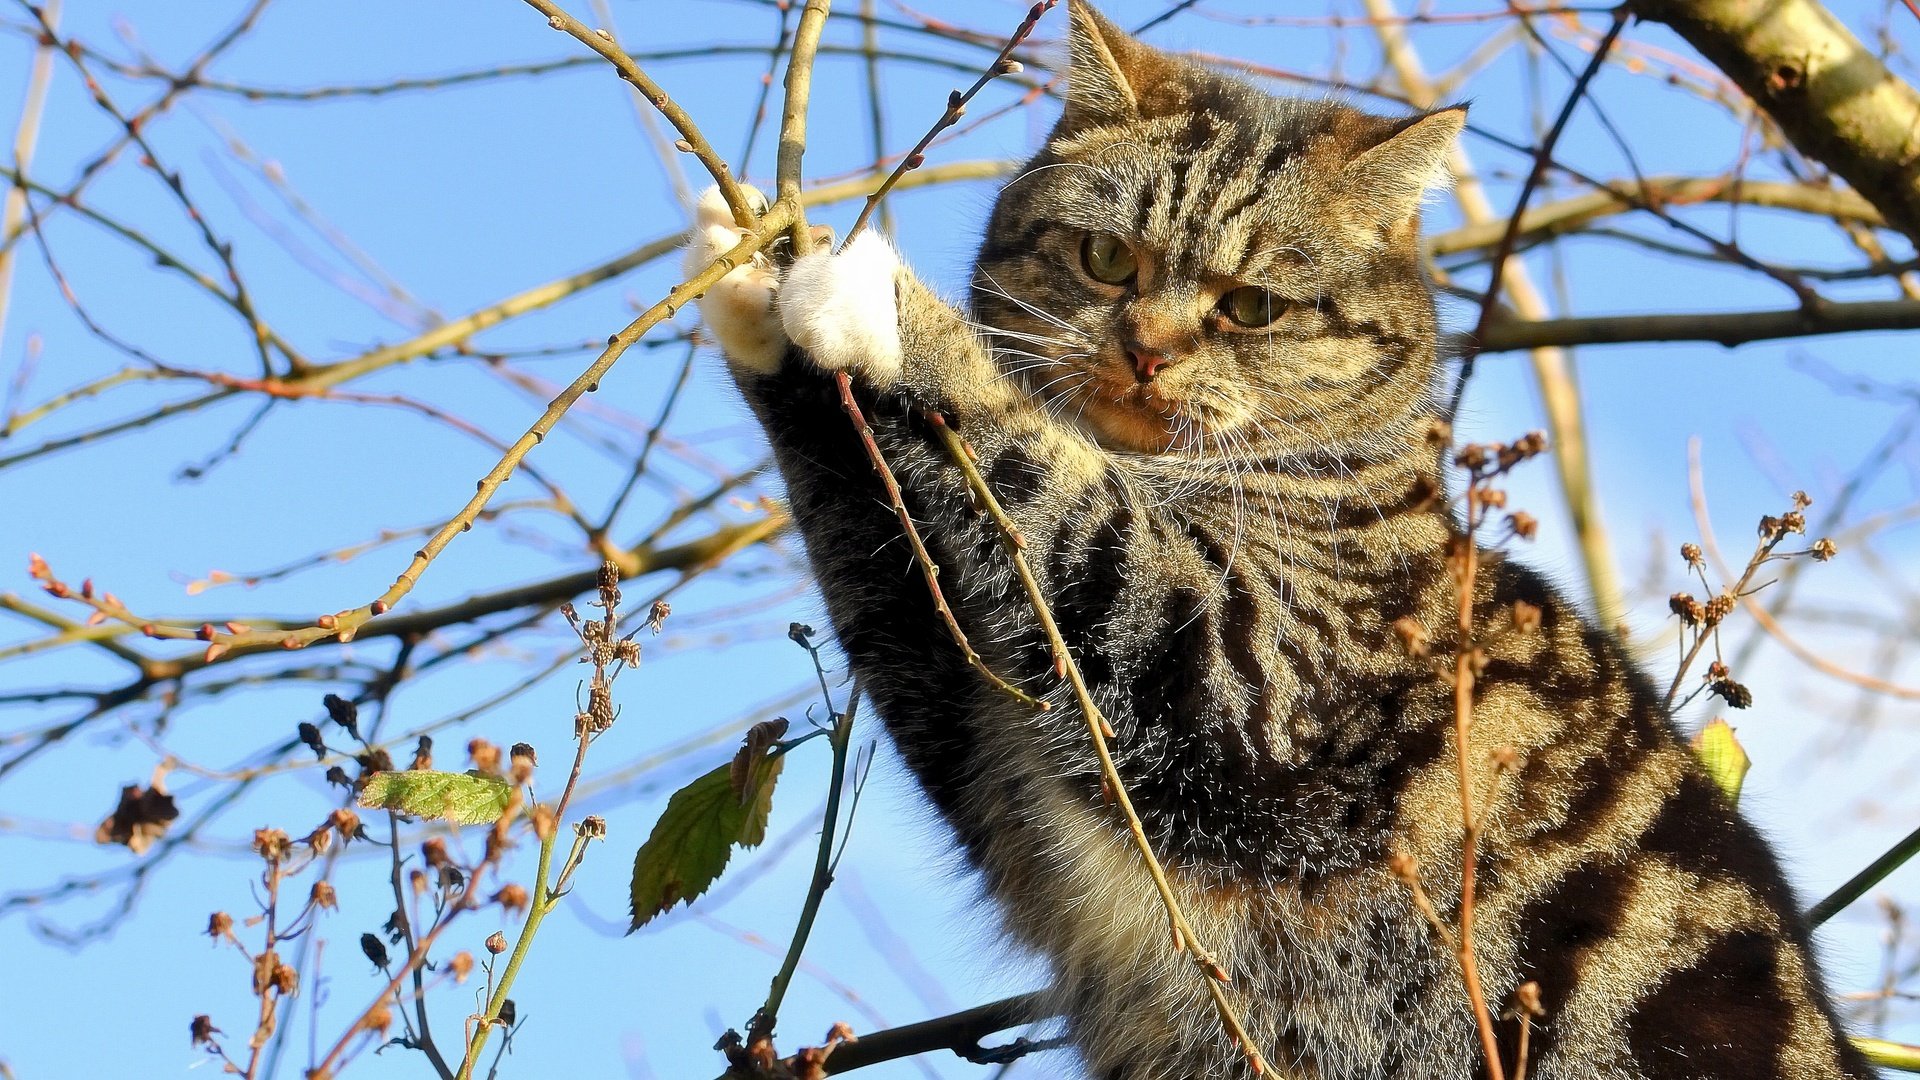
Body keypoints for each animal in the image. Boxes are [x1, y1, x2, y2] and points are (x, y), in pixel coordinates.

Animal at [687, 4, 1873, 1068]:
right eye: (1106, 257)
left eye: (1252, 307)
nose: (1146, 351)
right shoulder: (984, 734)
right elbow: (878, 541)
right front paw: (750, 278)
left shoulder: (1240, 665)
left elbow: (1052, 473)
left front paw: (873, 298)